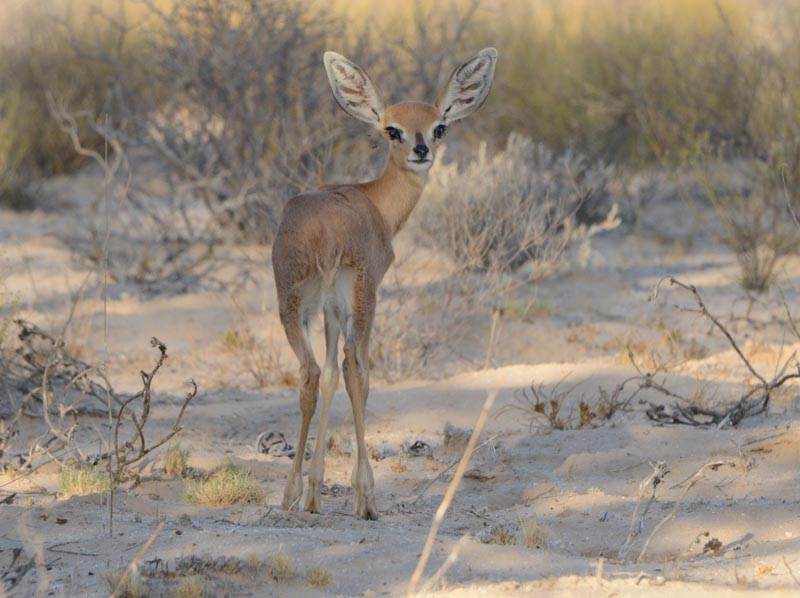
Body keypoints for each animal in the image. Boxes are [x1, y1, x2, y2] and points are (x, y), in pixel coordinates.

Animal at [276, 47, 500, 520]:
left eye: (439, 125)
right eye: (391, 128)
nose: (420, 150)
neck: (374, 202)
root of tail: (323, 231)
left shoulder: (331, 310)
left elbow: (327, 378)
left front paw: (314, 490)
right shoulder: (360, 296)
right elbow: (352, 374)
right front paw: (355, 494)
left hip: (292, 302)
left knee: (311, 373)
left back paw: (291, 494)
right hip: (363, 299)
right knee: (355, 369)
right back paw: (368, 499)